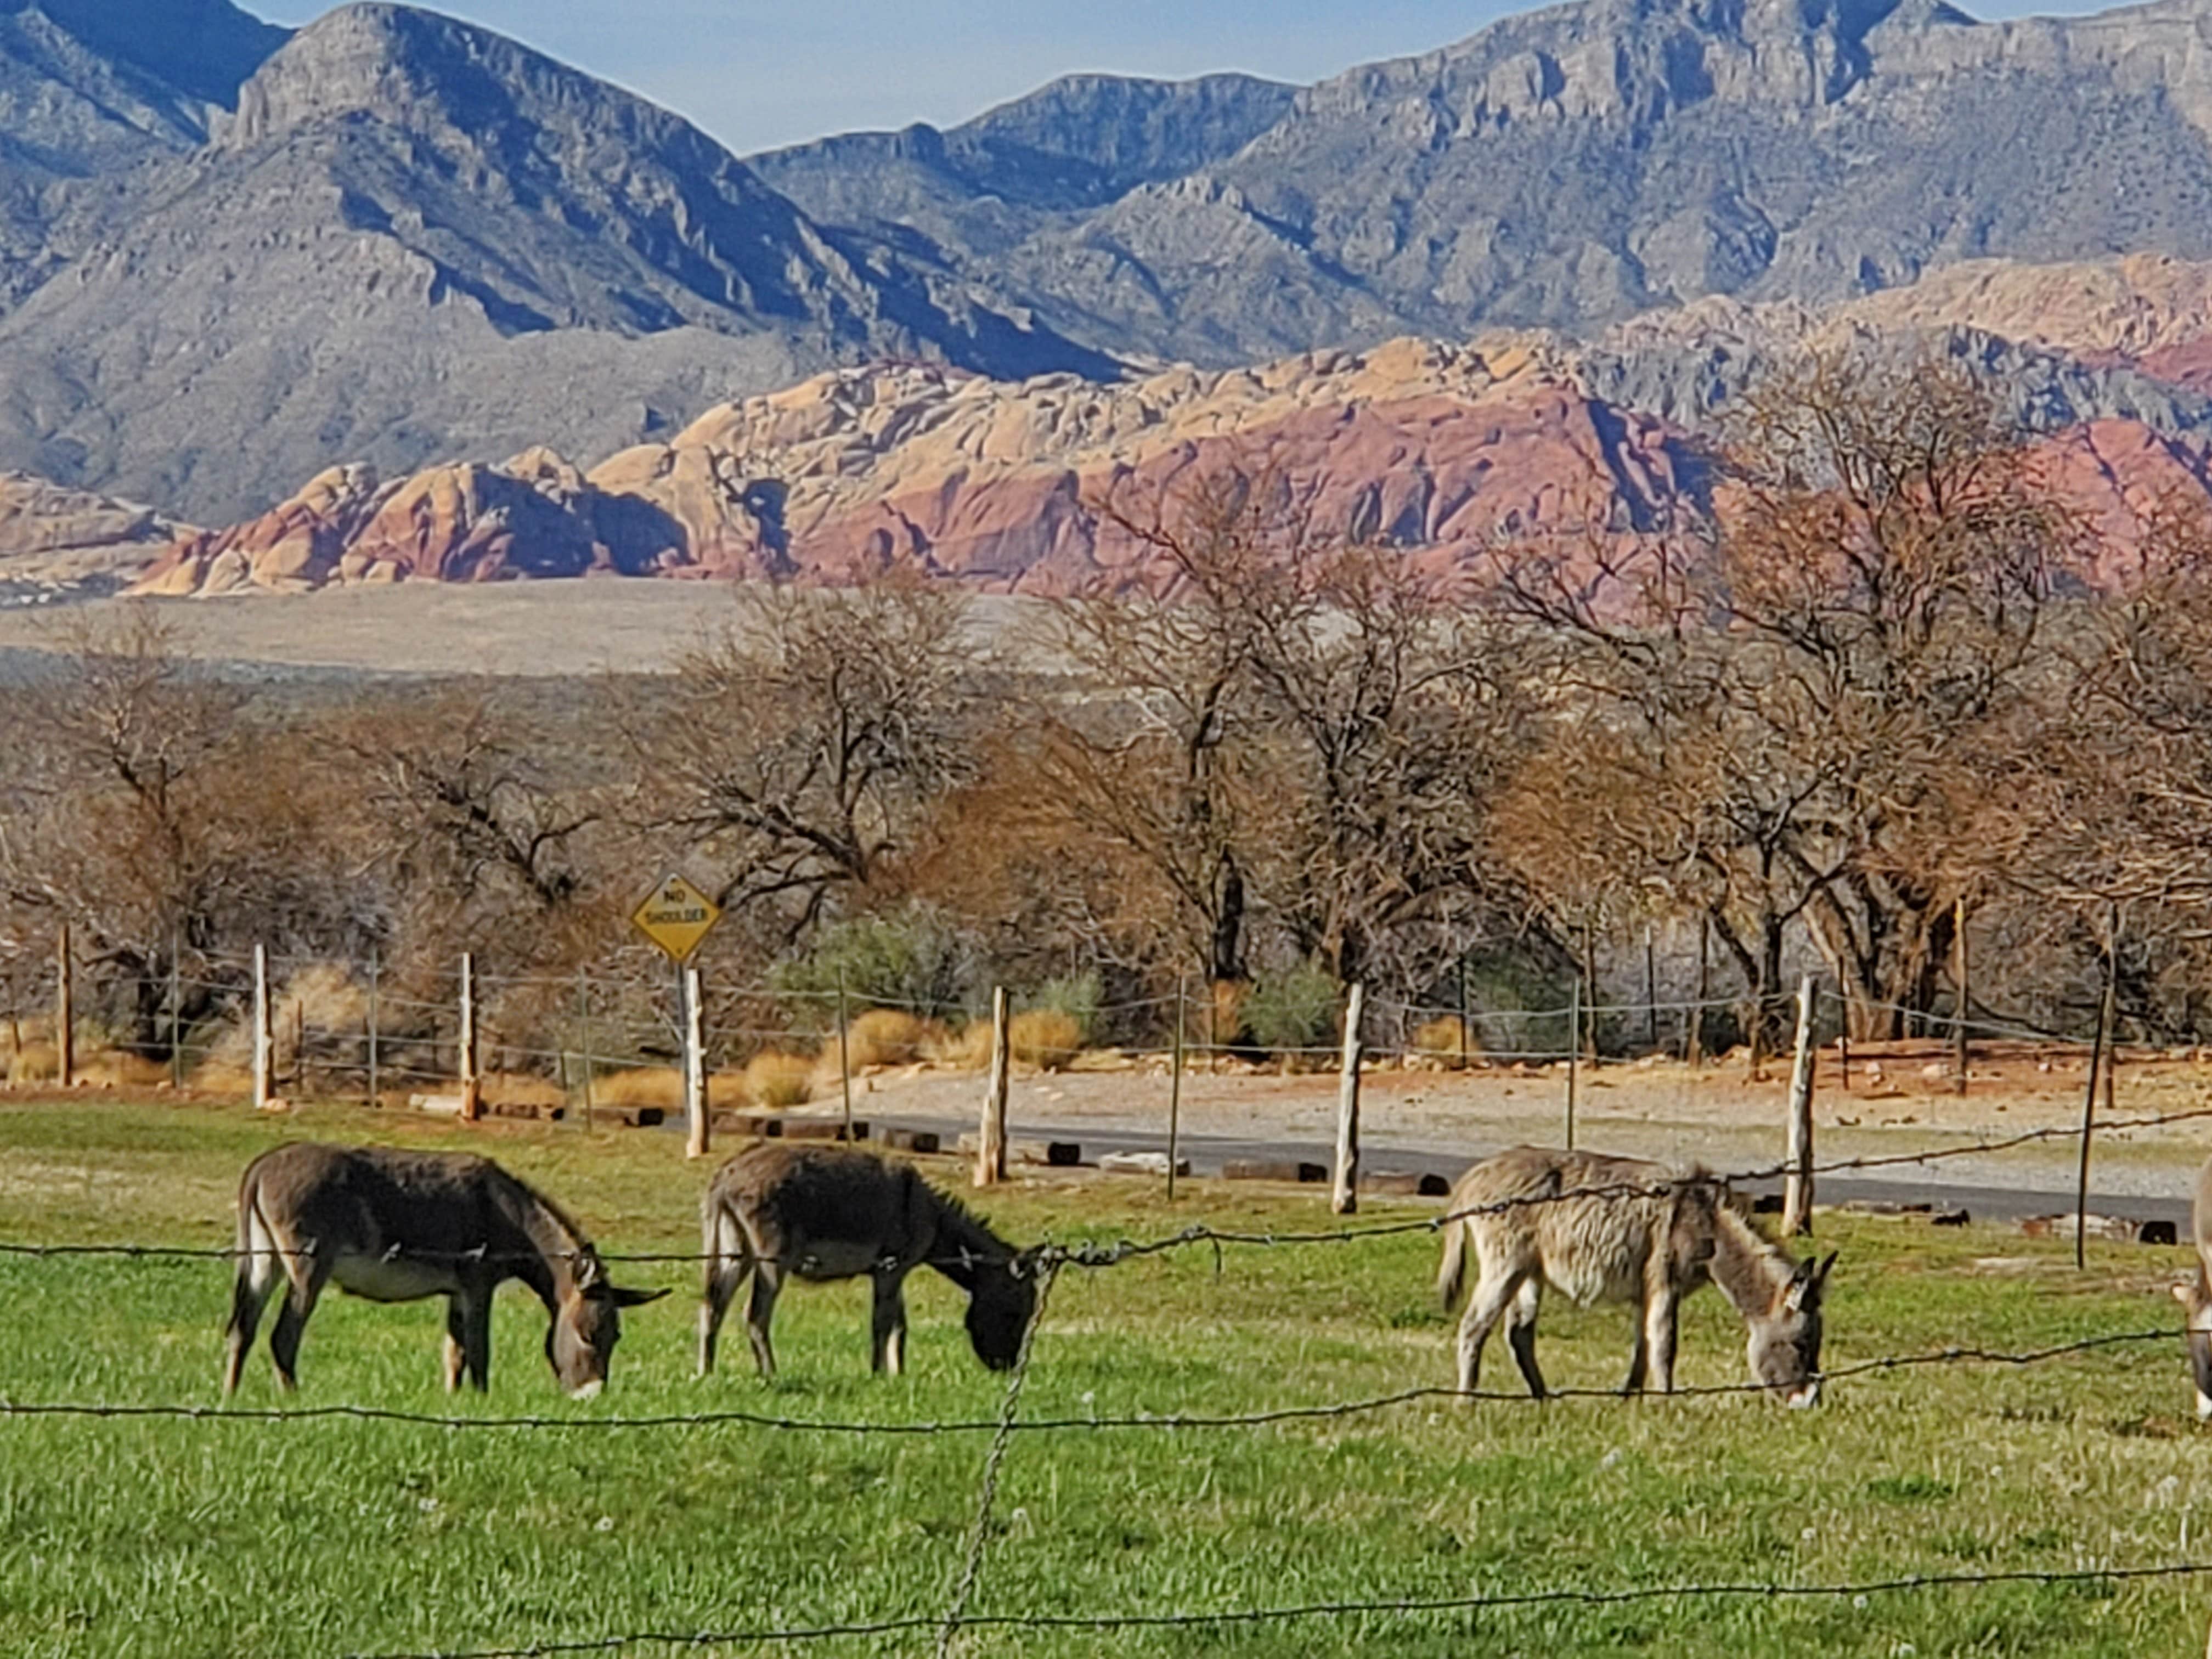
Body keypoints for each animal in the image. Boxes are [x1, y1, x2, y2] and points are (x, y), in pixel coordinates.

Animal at [223, 1142, 665, 1398]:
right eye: (588, 1337)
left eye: (616, 1337)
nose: (594, 1398)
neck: (511, 1216)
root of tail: (261, 1165)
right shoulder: (478, 1286)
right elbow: (480, 1351)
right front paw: (483, 1404)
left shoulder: (455, 1293)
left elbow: (454, 1353)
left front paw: (453, 1405)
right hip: (309, 1266)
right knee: (283, 1336)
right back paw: (293, 1399)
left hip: (264, 1262)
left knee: (242, 1330)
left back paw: (231, 1398)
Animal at [697, 1143, 1035, 1378]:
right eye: (1015, 1311)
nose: (1007, 1367)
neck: (932, 1217)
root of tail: (728, 1174)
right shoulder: (890, 1268)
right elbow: (882, 1323)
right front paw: (878, 1374)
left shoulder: (894, 1272)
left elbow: (899, 1325)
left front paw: (899, 1373)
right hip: (771, 1259)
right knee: (755, 1315)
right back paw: (770, 1374)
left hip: (733, 1253)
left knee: (713, 1305)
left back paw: (706, 1372)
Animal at [1436, 1146, 1834, 1406]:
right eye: (1801, 1345)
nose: (1811, 1402)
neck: (1708, 1220)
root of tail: (1476, 1175)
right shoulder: (1664, 1280)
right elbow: (1665, 1344)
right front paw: (1668, 1404)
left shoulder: (1647, 1290)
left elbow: (1643, 1344)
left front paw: (1630, 1400)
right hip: (1506, 1266)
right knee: (1473, 1327)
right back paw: (1466, 1403)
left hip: (1529, 1272)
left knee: (1518, 1333)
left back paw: (1542, 1399)